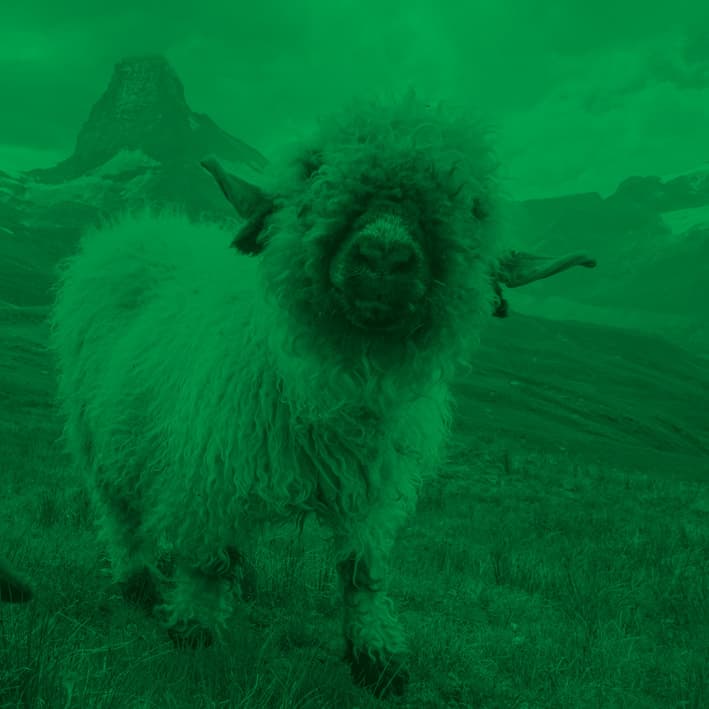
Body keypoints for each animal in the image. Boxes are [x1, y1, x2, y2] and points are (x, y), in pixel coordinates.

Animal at [50, 91, 502, 697]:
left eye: (473, 207)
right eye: (314, 171)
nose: (384, 256)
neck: (333, 378)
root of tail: (137, 227)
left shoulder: (370, 491)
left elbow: (360, 573)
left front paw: (377, 657)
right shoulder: (210, 475)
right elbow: (206, 561)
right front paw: (193, 632)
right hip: (95, 432)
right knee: (118, 512)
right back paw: (138, 582)